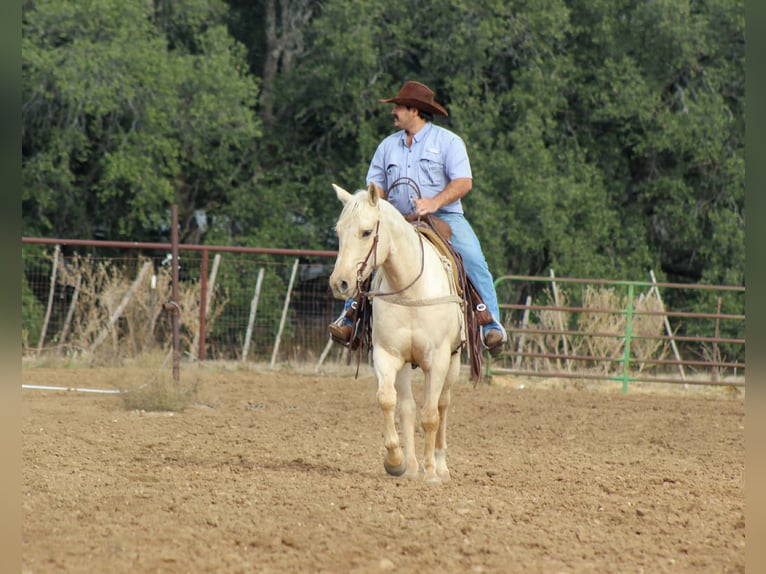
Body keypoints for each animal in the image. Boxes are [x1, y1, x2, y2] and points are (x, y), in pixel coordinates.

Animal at [329, 183, 465, 482]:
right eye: (339, 231)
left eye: (367, 231)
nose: (339, 282)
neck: (410, 289)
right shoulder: (387, 355)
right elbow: (388, 401)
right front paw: (395, 461)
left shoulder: (438, 360)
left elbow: (430, 415)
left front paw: (431, 473)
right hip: (405, 365)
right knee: (408, 407)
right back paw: (412, 468)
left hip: (454, 361)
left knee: (443, 405)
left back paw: (441, 466)